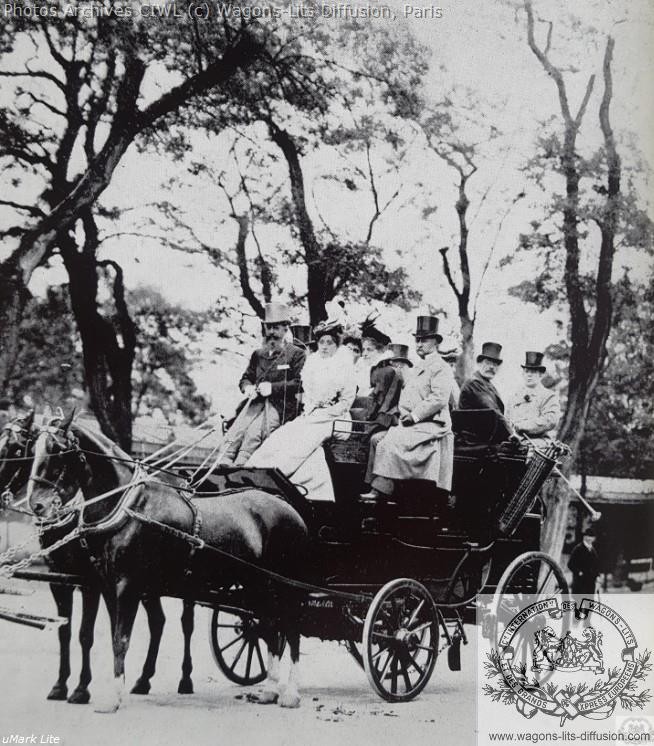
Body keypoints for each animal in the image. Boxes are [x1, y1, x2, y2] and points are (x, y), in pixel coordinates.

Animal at [1, 412, 195, 704]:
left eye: (15, 449)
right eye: (33, 451)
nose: (38, 505)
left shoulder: (90, 582)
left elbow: (86, 634)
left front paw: (82, 688)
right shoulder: (60, 580)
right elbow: (66, 630)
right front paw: (61, 685)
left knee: (186, 624)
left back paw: (185, 679)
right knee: (158, 621)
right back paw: (143, 679)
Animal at [26, 412, 308, 708]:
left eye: (58, 449)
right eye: (33, 448)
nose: (37, 505)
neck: (129, 506)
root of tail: (290, 508)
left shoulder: (126, 584)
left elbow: (120, 638)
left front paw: (111, 697)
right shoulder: (105, 584)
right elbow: (108, 635)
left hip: (285, 586)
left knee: (291, 628)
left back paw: (290, 693)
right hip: (258, 586)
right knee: (271, 627)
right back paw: (270, 690)